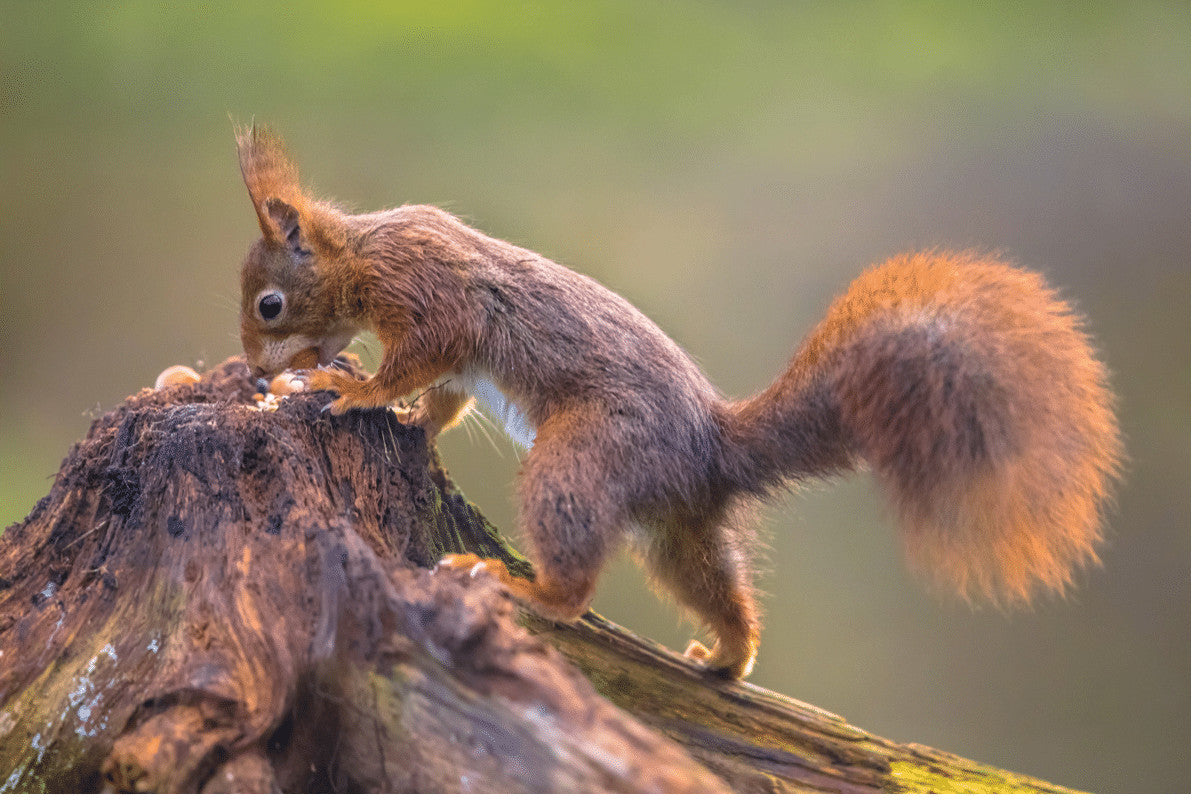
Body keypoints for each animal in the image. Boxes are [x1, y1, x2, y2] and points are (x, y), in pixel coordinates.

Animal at [234, 126, 1120, 680]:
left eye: (269, 305)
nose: (252, 369)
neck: (363, 251)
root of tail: (712, 446)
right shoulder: (449, 353)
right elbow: (445, 396)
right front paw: (410, 417)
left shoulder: (431, 298)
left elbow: (421, 362)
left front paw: (352, 388)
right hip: (678, 528)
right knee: (714, 586)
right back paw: (729, 654)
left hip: (585, 456)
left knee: (575, 585)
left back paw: (526, 590)